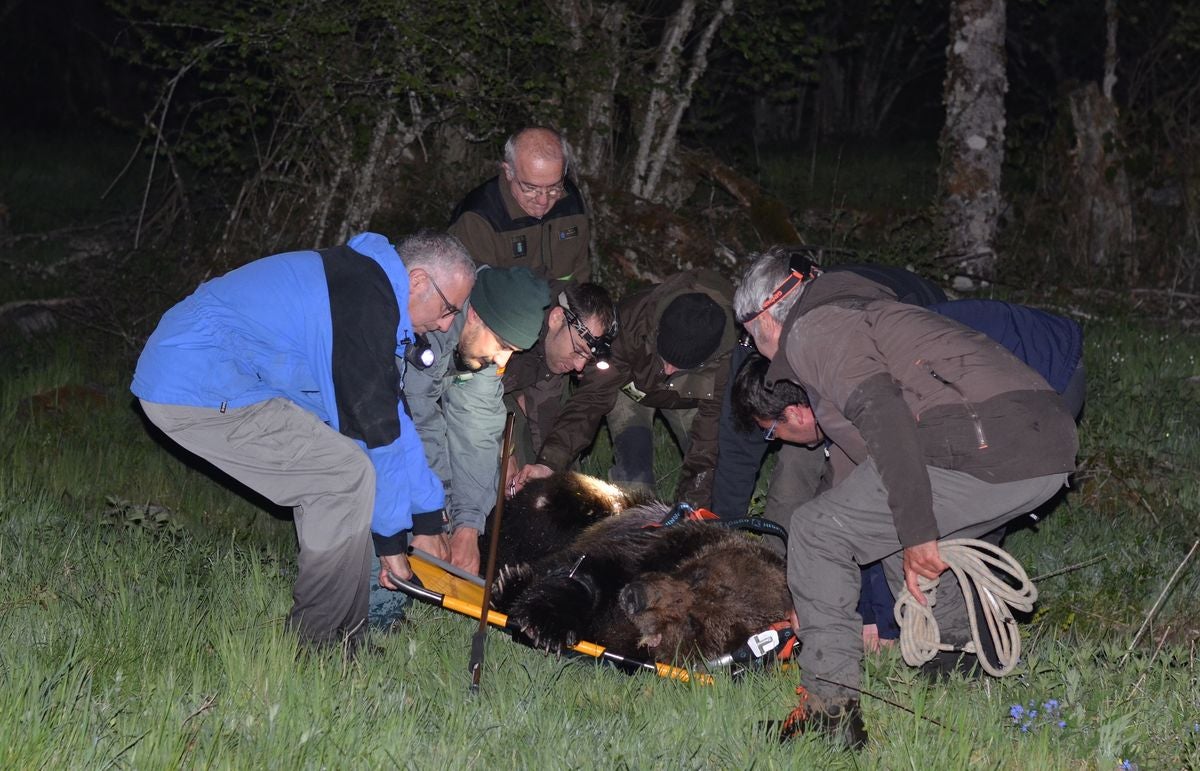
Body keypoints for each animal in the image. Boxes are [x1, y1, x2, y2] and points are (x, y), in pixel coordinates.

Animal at [492, 470, 792, 662]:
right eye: (698, 576)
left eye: (694, 622)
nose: (635, 597)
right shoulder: (650, 546)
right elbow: (585, 571)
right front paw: (544, 620)